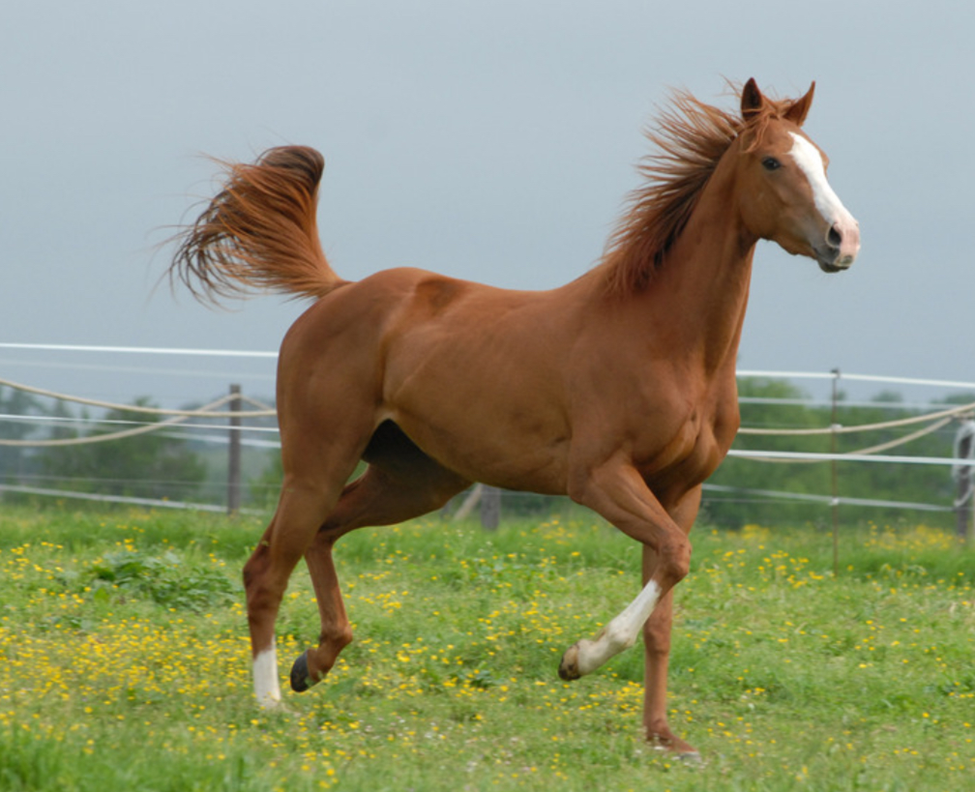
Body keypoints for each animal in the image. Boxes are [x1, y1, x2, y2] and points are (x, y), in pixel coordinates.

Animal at [169, 79, 859, 758]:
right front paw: (578, 659)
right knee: (267, 568)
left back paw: (313, 663)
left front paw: (663, 736)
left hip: (414, 480)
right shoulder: (598, 477)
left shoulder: (679, 490)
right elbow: (674, 560)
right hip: (318, 462)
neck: (669, 342)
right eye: (771, 162)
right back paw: (270, 702)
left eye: (823, 160)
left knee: (319, 537)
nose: (843, 239)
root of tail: (336, 292)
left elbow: (665, 603)